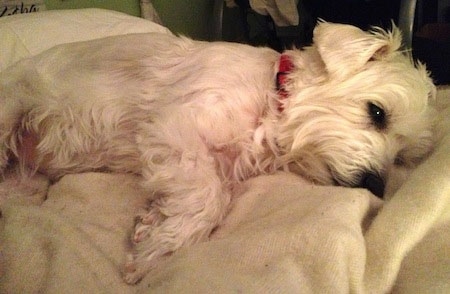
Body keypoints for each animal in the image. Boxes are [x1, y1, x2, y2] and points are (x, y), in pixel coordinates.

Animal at [0, 21, 436, 284]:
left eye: (402, 157)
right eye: (377, 113)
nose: (375, 185)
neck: (269, 100)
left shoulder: (199, 160)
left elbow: (194, 192)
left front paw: (153, 223)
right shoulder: (177, 128)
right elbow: (210, 198)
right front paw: (158, 249)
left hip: (27, 186)